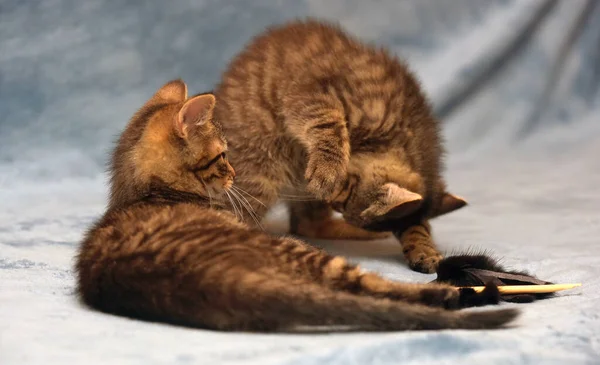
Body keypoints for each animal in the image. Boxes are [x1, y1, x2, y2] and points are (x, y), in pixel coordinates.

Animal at [74, 81, 516, 332]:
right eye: (223, 156)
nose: (234, 172)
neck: (143, 193)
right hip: (305, 255)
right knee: (379, 288)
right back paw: (469, 291)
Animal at [216, 18, 468, 272]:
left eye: (344, 203)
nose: (333, 205)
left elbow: (417, 224)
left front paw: (424, 248)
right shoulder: (312, 92)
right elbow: (329, 122)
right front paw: (328, 167)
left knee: (306, 225)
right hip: (259, 176)